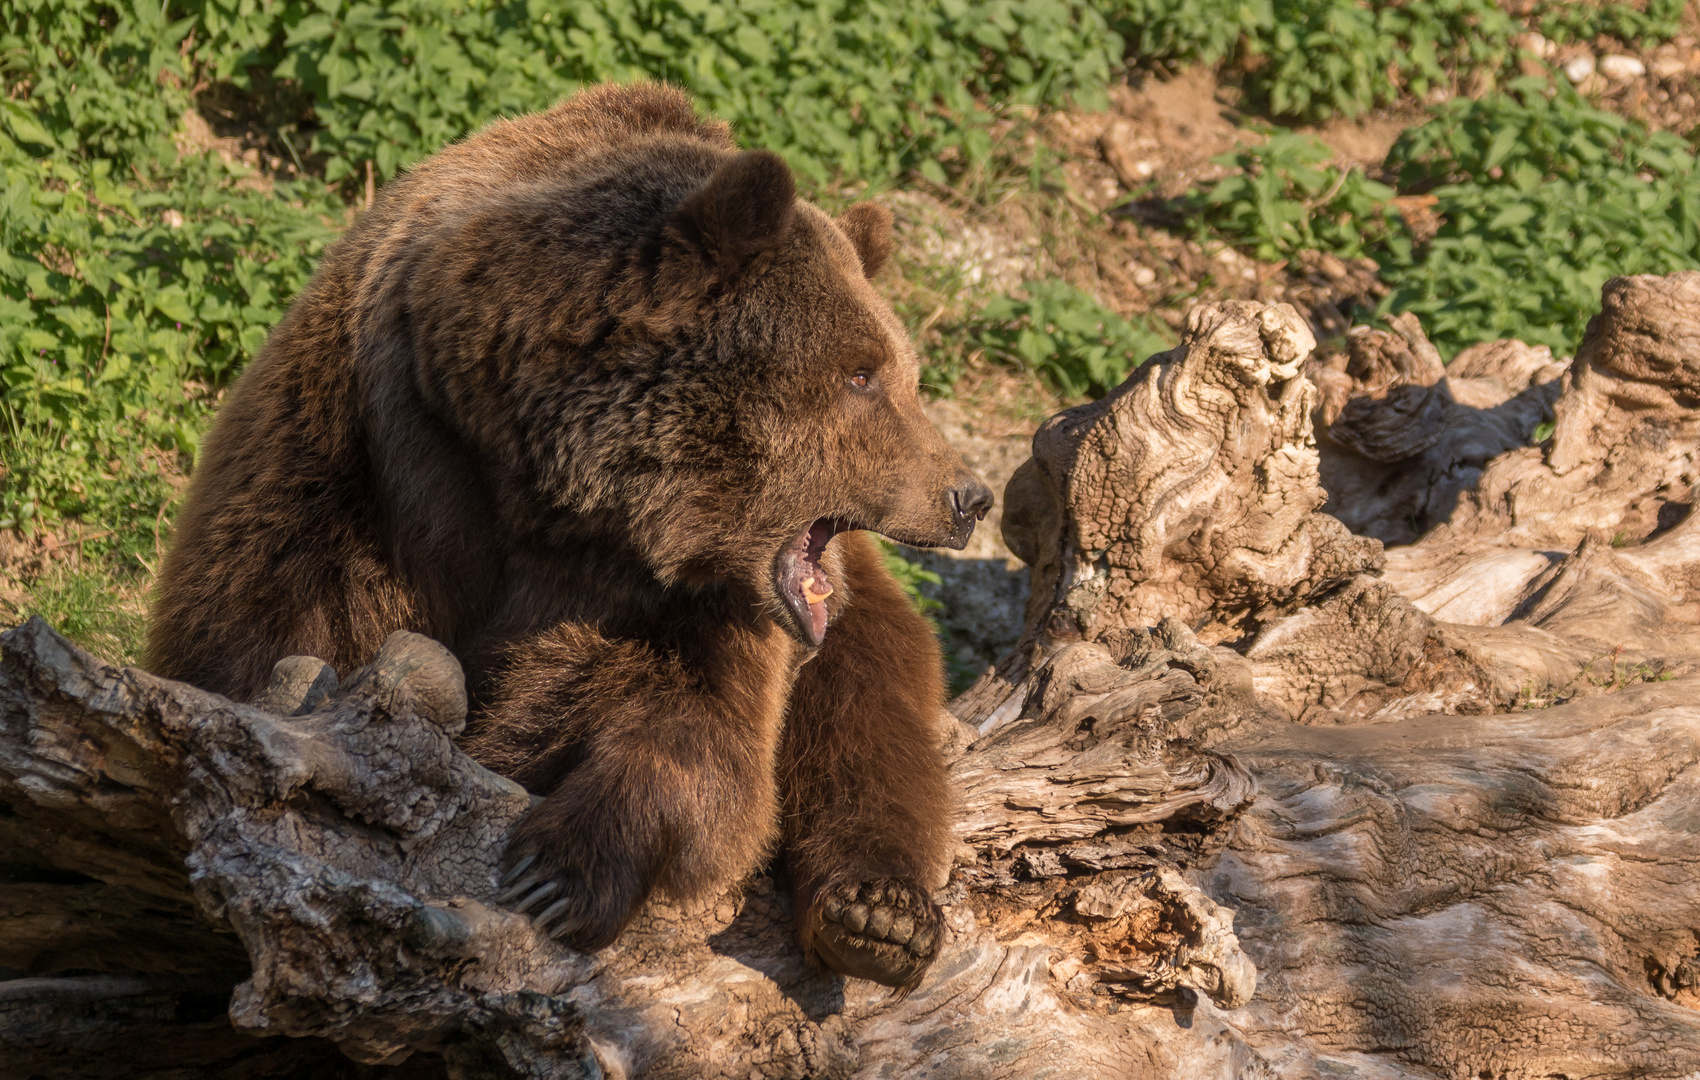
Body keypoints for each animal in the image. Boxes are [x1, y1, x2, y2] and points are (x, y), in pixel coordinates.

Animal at [149, 82, 992, 986]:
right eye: (862, 374)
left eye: (903, 373)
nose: (968, 495)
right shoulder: (371, 454)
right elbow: (270, 630)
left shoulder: (673, 599)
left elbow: (697, 735)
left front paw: (561, 872)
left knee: (868, 718)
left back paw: (877, 913)